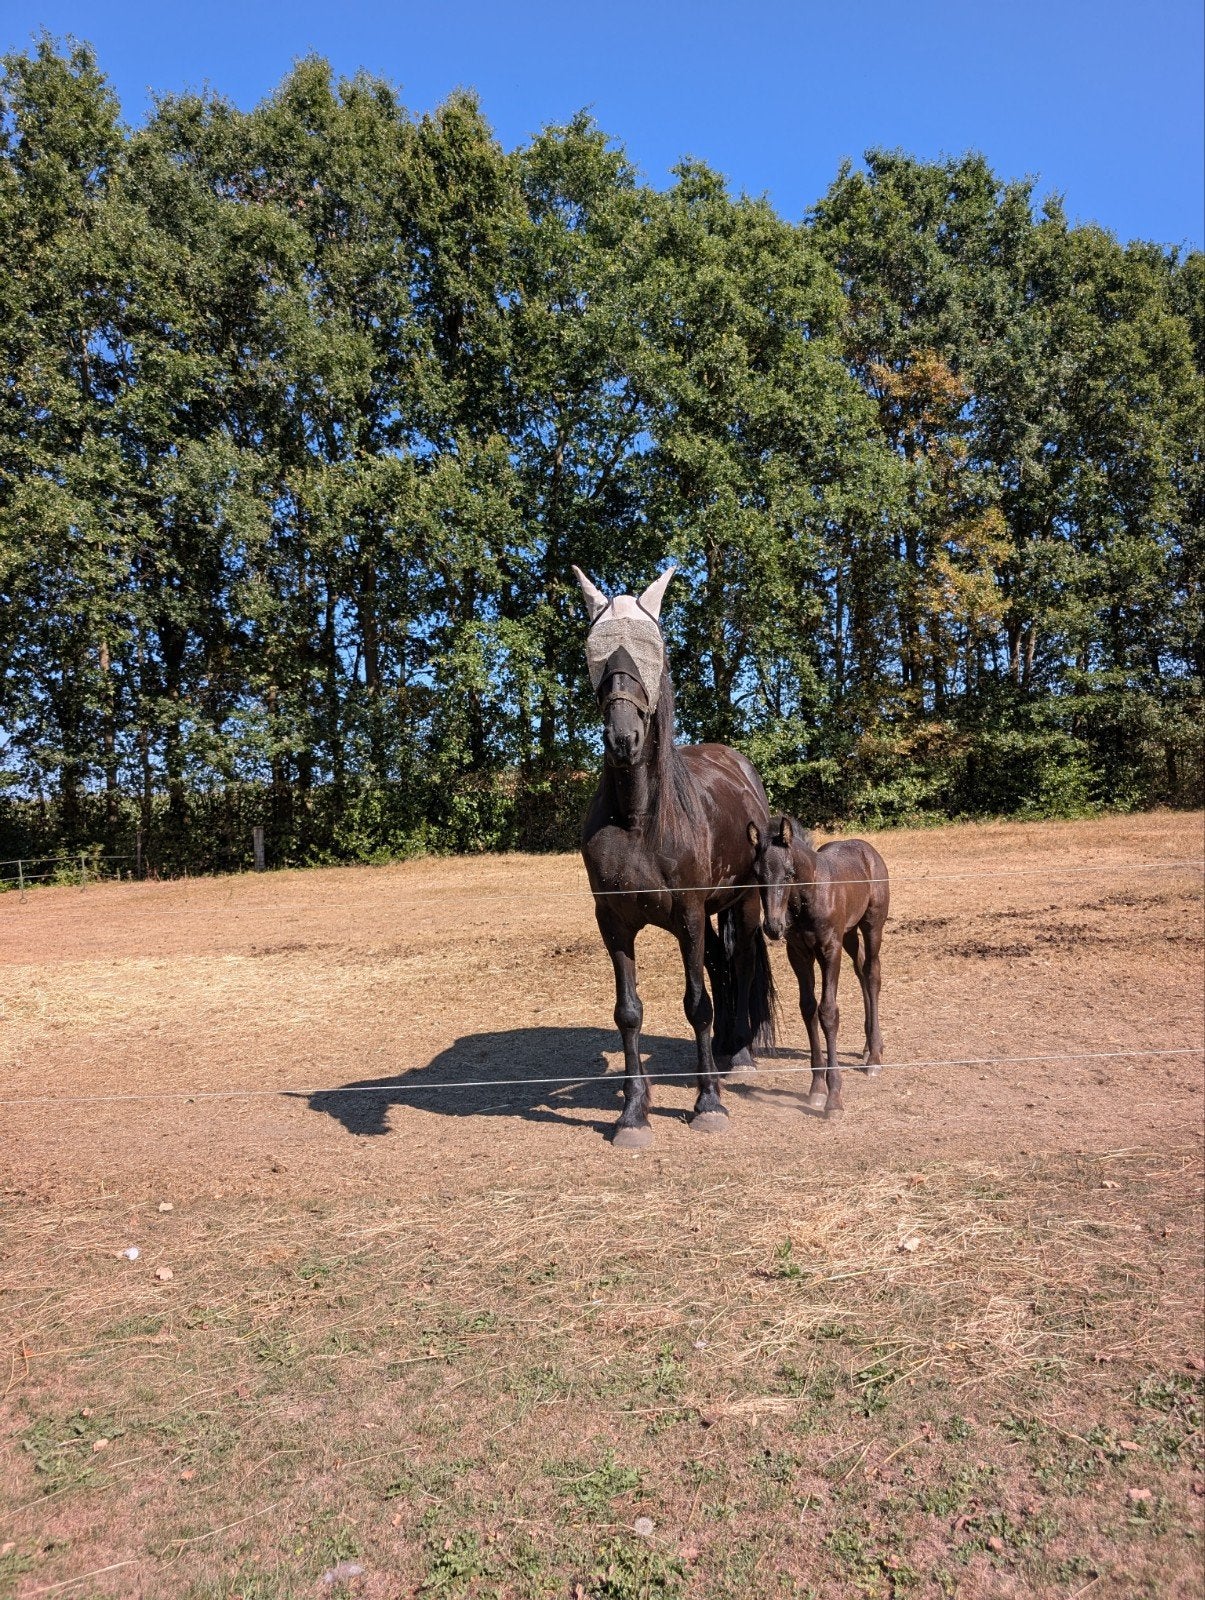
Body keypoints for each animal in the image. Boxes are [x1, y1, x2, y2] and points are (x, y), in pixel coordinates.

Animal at [574, 564, 777, 1149]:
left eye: (651, 652)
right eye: (596, 654)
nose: (623, 737)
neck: (640, 818)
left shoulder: (687, 915)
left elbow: (697, 1003)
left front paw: (708, 1103)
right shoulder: (613, 923)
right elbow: (628, 1013)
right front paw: (632, 1113)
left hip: (742, 906)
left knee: (741, 964)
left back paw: (739, 1055)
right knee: (720, 965)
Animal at [747, 816, 889, 1120]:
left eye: (789, 873)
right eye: (757, 875)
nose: (773, 927)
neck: (808, 896)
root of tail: (867, 850)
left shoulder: (829, 951)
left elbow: (828, 1012)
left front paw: (834, 1098)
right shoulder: (798, 953)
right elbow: (808, 1008)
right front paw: (817, 1089)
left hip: (872, 925)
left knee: (872, 973)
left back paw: (874, 1057)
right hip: (849, 932)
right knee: (861, 969)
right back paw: (869, 1047)